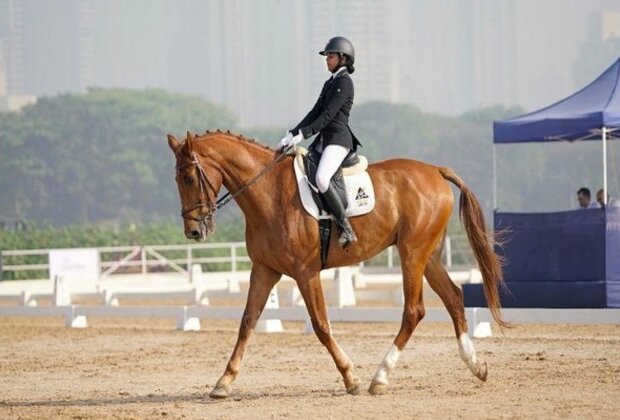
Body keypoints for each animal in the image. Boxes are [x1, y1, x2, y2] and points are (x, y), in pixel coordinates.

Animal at [167, 130, 506, 398]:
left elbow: (321, 325)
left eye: (188, 178)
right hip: (429, 255)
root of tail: (435, 170)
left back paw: (379, 377)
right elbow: (247, 323)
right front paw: (223, 382)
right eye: (177, 179)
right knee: (454, 298)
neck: (270, 195)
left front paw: (350, 377)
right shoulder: (264, 270)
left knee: (414, 310)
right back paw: (477, 365)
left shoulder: (305, 272)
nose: (193, 232)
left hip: (412, 253)